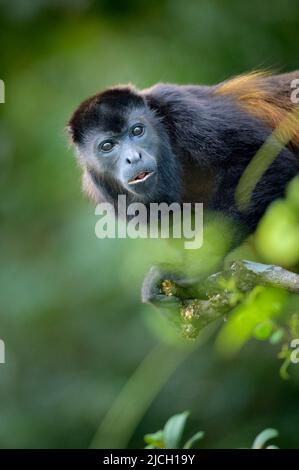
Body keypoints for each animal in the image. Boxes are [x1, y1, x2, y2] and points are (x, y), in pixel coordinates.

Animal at [68, 71, 299, 308]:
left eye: (137, 130)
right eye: (107, 146)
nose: (133, 157)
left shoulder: (184, 110)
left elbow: (271, 165)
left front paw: (194, 268)